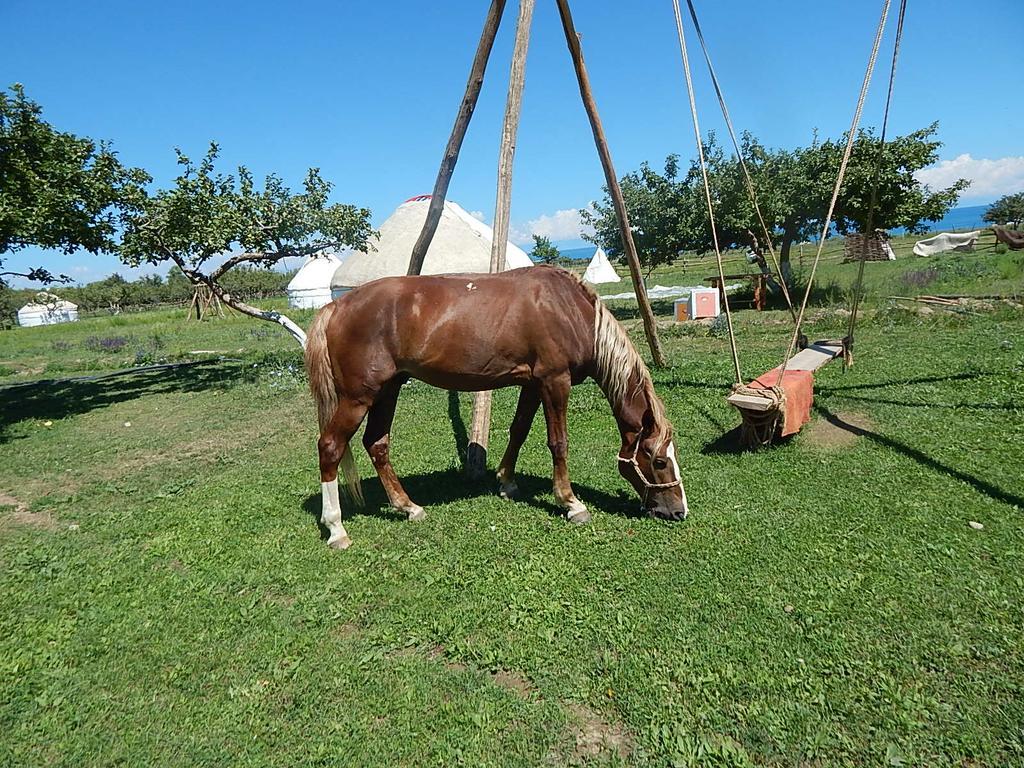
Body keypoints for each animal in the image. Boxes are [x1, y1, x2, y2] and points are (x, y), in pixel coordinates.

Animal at [303, 268, 688, 548]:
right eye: (659, 461)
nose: (679, 511)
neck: (568, 310)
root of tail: (336, 307)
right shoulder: (555, 381)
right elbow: (558, 442)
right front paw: (570, 502)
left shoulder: (532, 384)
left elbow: (518, 431)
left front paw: (507, 483)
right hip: (358, 398)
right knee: (331, 447)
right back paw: (336, 529)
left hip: (388, 391)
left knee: (377, 444)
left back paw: (408, 507)